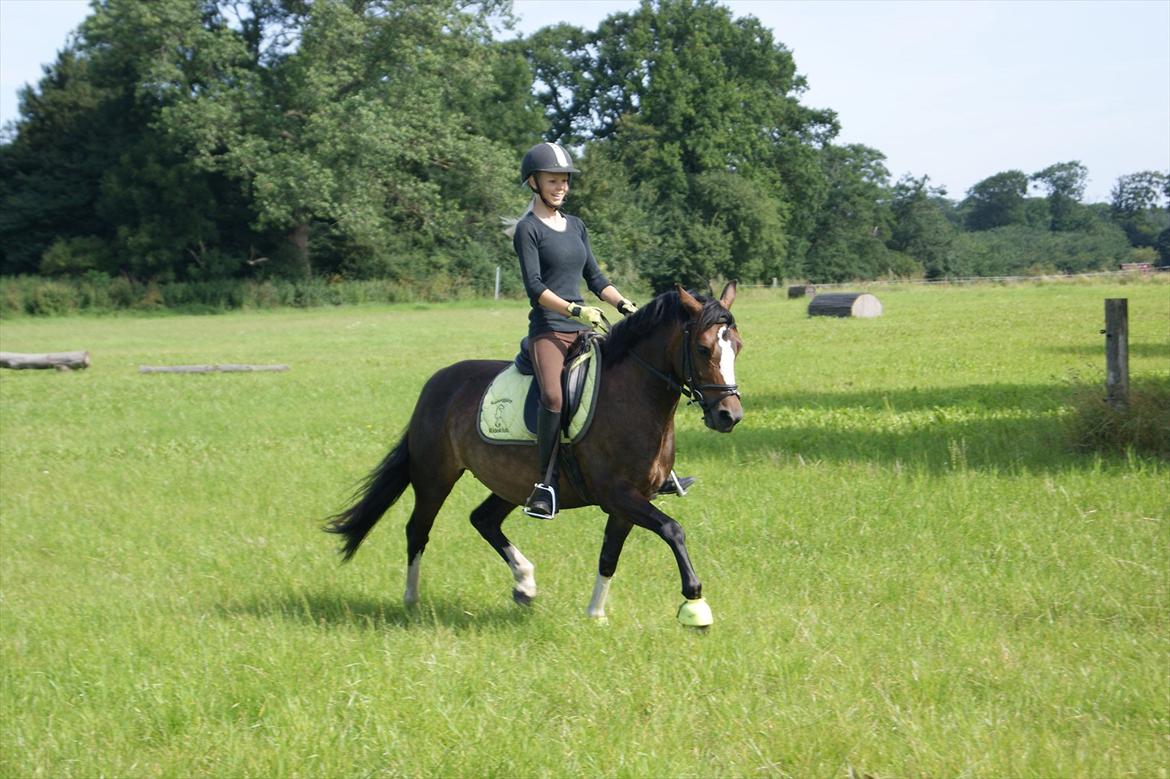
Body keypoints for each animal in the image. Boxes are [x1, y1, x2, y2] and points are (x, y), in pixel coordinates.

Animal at [325, 282, 743, 626]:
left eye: (737, 347)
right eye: (703, 348)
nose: (729, 416)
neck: (632, 396)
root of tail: (437, 382)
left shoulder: (630, 500)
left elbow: (609, 555)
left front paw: (595, 615)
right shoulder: (618, 495)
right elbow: (673, 529)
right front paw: (695, 603)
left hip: (513, 483)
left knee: (483, 519)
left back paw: (524, 583)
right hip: (435, 476)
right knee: (418, 529)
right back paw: (411, 599)